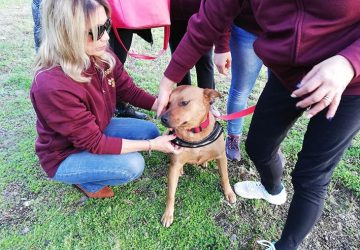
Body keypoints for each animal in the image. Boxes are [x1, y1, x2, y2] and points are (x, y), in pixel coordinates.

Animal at [160, 85, 236, 228]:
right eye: (168, 104)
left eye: (184, 102)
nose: (162, 118)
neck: (194, 133)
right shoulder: (174, 165)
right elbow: (170, 194)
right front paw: (168, 214)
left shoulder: (222, 156)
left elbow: (225, 177)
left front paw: (229, 193)